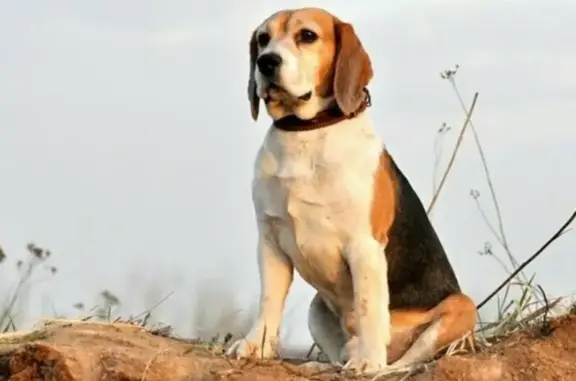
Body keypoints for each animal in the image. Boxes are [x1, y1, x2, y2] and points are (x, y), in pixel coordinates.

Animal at [226, 6, 476, 374]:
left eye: (307, 35)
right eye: (263, 38)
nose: (266, 62)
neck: (306, 133)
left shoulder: (364, 246)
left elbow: (370, 306)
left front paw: (367, 360)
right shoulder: (270, 241)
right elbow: (269, 299)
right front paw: (255, 345)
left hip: (460, 307)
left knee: (402, 362)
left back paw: (373, 361)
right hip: (317, 308)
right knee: (339, 352)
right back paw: (322, 366)